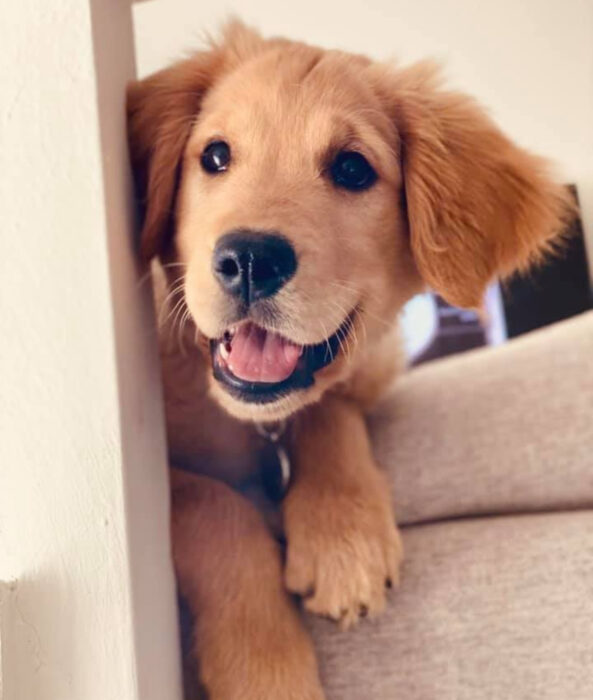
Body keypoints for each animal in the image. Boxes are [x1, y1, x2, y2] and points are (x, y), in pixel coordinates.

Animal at [127, 19, 572, 696]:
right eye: (215, 156)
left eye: (353, 169)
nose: (250, 258)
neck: (255, 424)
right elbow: (214, 504)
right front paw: (266, 666)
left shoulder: (368, 373)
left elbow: (329, 410)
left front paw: (344, 535)